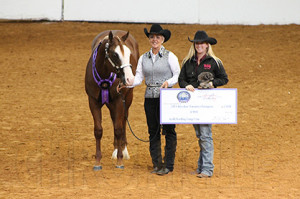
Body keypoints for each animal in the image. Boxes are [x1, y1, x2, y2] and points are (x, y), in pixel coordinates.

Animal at [84, 30, 139, 170]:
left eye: (129, 53)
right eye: (115, 54)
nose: (130, 79)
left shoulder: (119, 101)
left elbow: (118, 129)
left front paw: (120, 161)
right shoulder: (93, 102)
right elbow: (98, 131)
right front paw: (97, 161)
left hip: (127, 98)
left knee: (123, 121)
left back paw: (123, 150)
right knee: (115, 120)